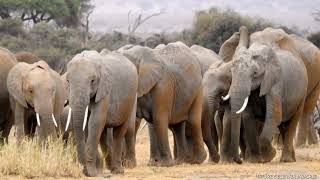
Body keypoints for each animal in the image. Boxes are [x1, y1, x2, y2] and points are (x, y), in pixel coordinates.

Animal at [224, 26, 312, 162]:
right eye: (231, 71)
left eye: (255, 73)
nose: (238, 160)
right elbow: (248, 116)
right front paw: (254, 161)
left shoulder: (275, 82)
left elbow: (274, 115)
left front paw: (269, 155)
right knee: (283, 125)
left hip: (302, 92)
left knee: (292, 122)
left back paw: (286, 160)